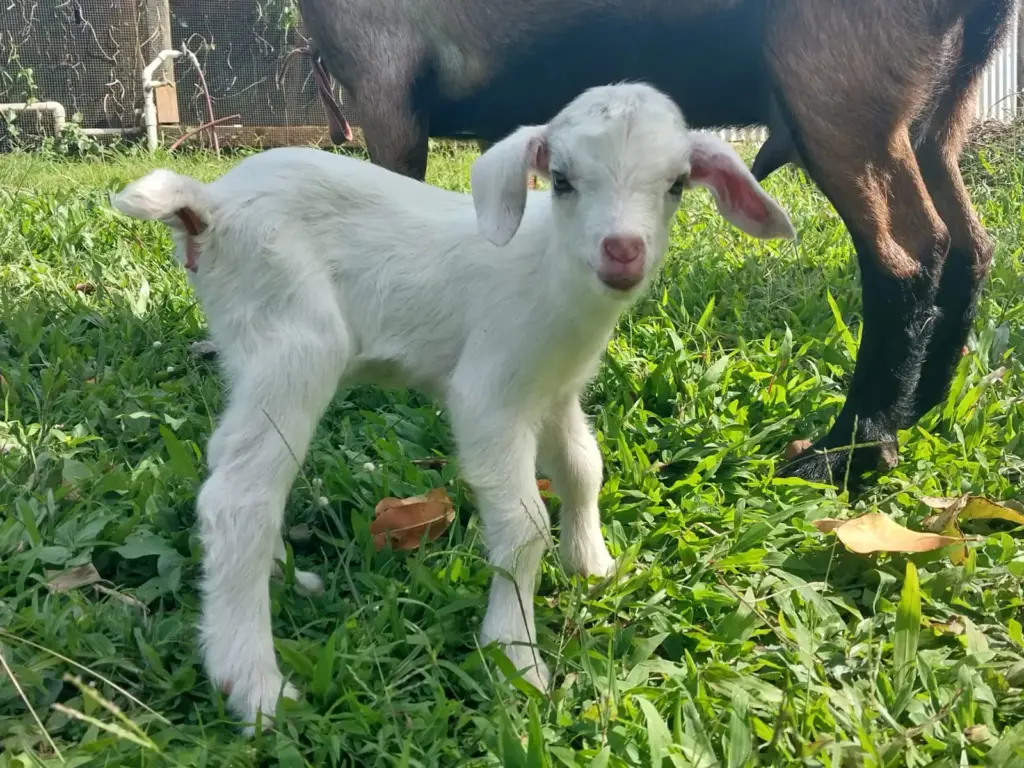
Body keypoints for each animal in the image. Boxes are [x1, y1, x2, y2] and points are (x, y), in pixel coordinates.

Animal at [111, 83, 795, 729]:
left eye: (677, 184)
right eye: (563, 180)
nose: (621, 251)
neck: (550, 270)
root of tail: (209, 205)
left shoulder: (554, 389)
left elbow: (583, 467)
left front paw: (594, 565)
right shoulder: (490, 392)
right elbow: (524, 524)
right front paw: (517, 658)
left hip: (249, 346)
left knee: (231, 457)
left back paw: (286, 578)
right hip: (296, 338)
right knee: (239, 498)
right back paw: (254, 685)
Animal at [298, 0, 1017, 488]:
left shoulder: (385, 90)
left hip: (837, 87)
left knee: (910, 255)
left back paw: (850, 449)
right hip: (935, 113)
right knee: (970, 245)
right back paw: (919, 404)